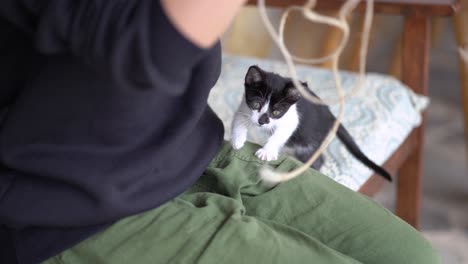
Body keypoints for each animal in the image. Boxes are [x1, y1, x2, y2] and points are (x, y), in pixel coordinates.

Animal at [232, 65, 394, 182]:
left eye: (277, 112)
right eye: (256, 104)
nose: (262, 121)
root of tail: (331, 116)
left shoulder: (292, 120)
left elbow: (279, 134)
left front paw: (267, 151)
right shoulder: (244, 108)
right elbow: (239, 120)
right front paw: (237, 140)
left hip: (308, 143)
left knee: (317, 158)